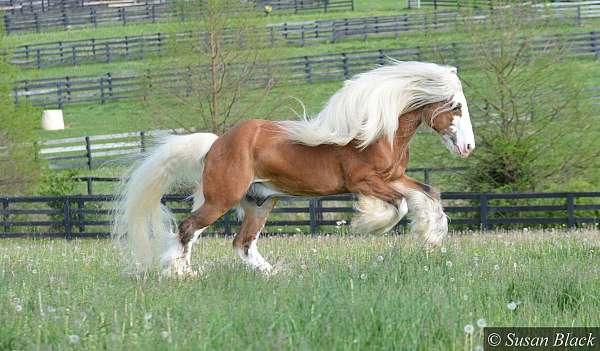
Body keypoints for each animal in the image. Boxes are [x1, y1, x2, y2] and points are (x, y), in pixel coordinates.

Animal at [112, 61, 476, 278]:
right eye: (456, 107)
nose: (468, 147)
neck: (378, 132)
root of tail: (216, 144)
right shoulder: (364, 181)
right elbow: (400, 206)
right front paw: (369, 223)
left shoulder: (394, 178)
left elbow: (429, 195)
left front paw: (431, 236)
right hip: (221, 199)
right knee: (189, 228)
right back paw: (182, 273)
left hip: (259, 202)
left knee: (242, 242)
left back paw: (273, 274)